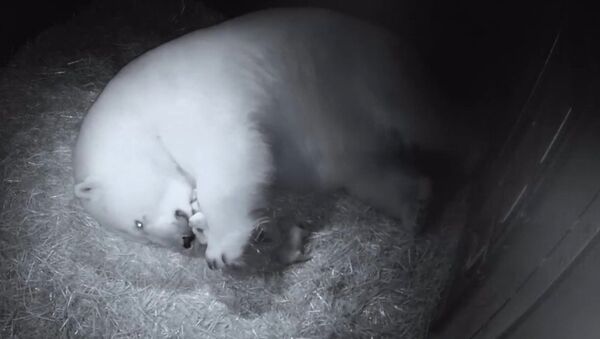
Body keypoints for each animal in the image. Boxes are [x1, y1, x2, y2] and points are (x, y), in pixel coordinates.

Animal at [72, 7, 450, 270]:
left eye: (138, 222)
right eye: (140, 232)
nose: (184, 241)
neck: (134, 109)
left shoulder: (192, 102)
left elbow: (230, 154)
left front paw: (221, 248)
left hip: (367, 79)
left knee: (425, 122)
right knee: (368, 173)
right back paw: (415, 206)